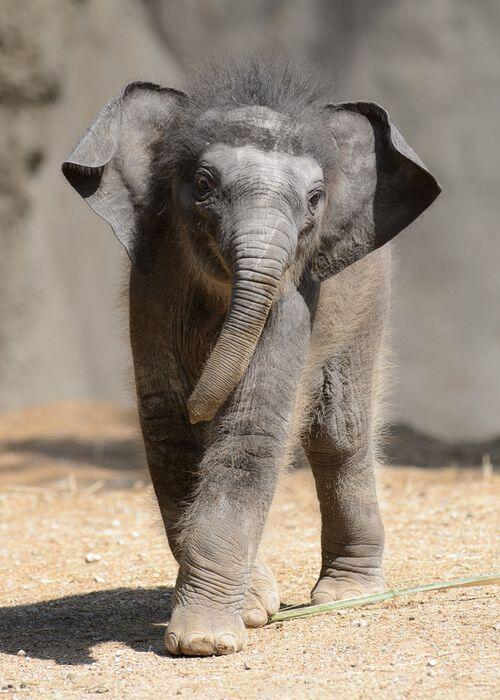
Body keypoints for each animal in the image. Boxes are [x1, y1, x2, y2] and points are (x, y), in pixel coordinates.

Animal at [62, 59, 441, 656]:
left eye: (315, 199)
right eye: (203, 185)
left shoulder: (294, 296)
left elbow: (253, 425)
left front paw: (205, 642)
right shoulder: (152, 285)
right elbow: (168, 429)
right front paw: (249, 608)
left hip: (369, 295)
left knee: (340, 433)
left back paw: (347, 595)